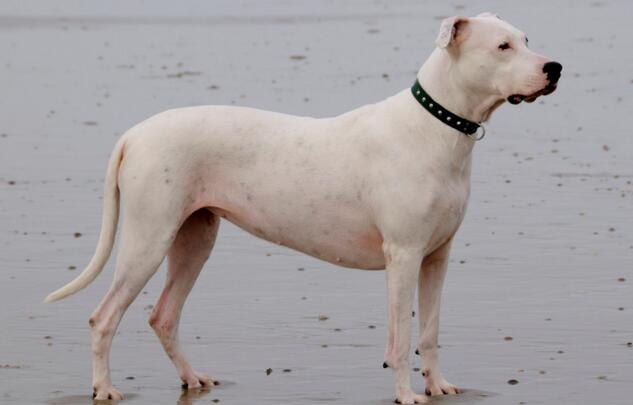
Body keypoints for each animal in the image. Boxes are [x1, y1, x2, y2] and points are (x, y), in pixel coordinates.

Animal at [45, 12, 561, 404]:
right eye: (502, 47)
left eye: (526, 41)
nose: (554, 67)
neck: (436, 128)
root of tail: (135, 134)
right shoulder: (404, 256)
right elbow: (400, 336)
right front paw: (406, 394)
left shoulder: (436, 256)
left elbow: (429, 331)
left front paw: (439, 386)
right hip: (148, 238)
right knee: (104, 317)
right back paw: (105, 388)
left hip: (195, 237)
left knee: (164, 316)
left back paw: (192, 379)